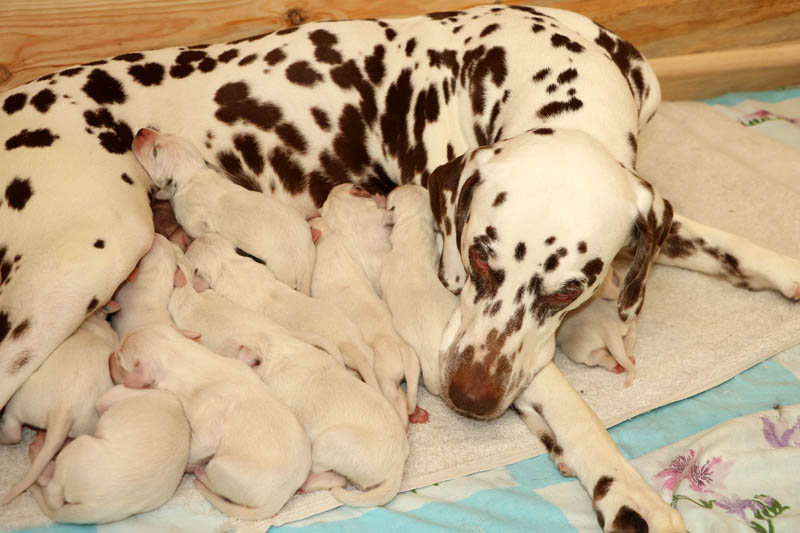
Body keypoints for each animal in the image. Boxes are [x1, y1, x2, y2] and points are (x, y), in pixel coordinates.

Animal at [27, 385, 190, 524]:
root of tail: (96, 508)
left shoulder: (114, 395)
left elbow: (102, 402)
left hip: (78, 448)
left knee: (52, 494)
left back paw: (38, 449)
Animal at [109, 323, 312, 520]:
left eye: (119, 360)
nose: (109, 356)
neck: (185, 357)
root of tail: (280, 499)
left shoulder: (204, 425)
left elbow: (195, 448)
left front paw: (188, 464)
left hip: (220, 468)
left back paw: (199, 472)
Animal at [132, 128, 316, 294]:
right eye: (168, 134)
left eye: (155, 152)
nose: (140, 131)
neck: (193, 175)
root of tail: (305, 263)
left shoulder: (192, 222)